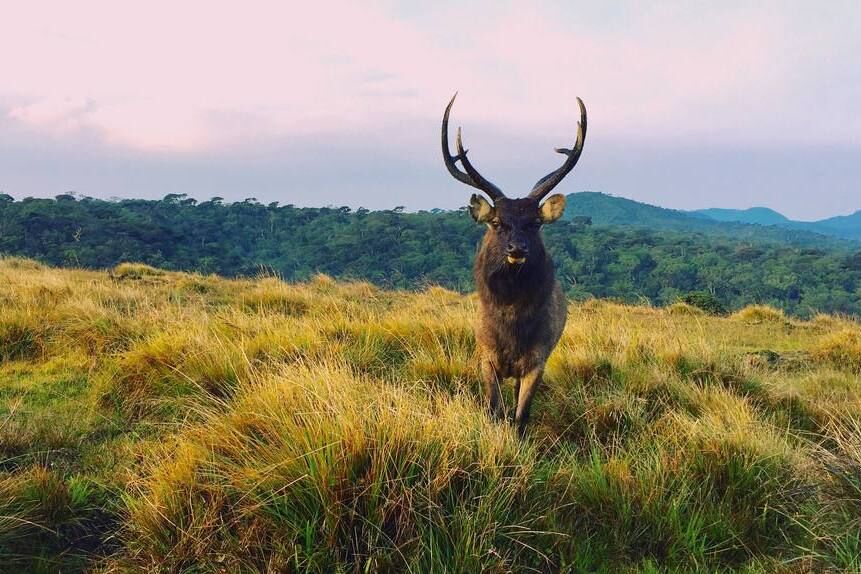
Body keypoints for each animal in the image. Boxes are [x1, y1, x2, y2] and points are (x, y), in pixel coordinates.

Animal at [444, 93, 584, 436]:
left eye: (535, 223)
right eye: (497, 222)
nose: (517, 248)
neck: (511, 328)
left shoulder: (538, 359)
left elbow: (521, 416)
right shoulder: (485, 356)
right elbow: (493, 410)